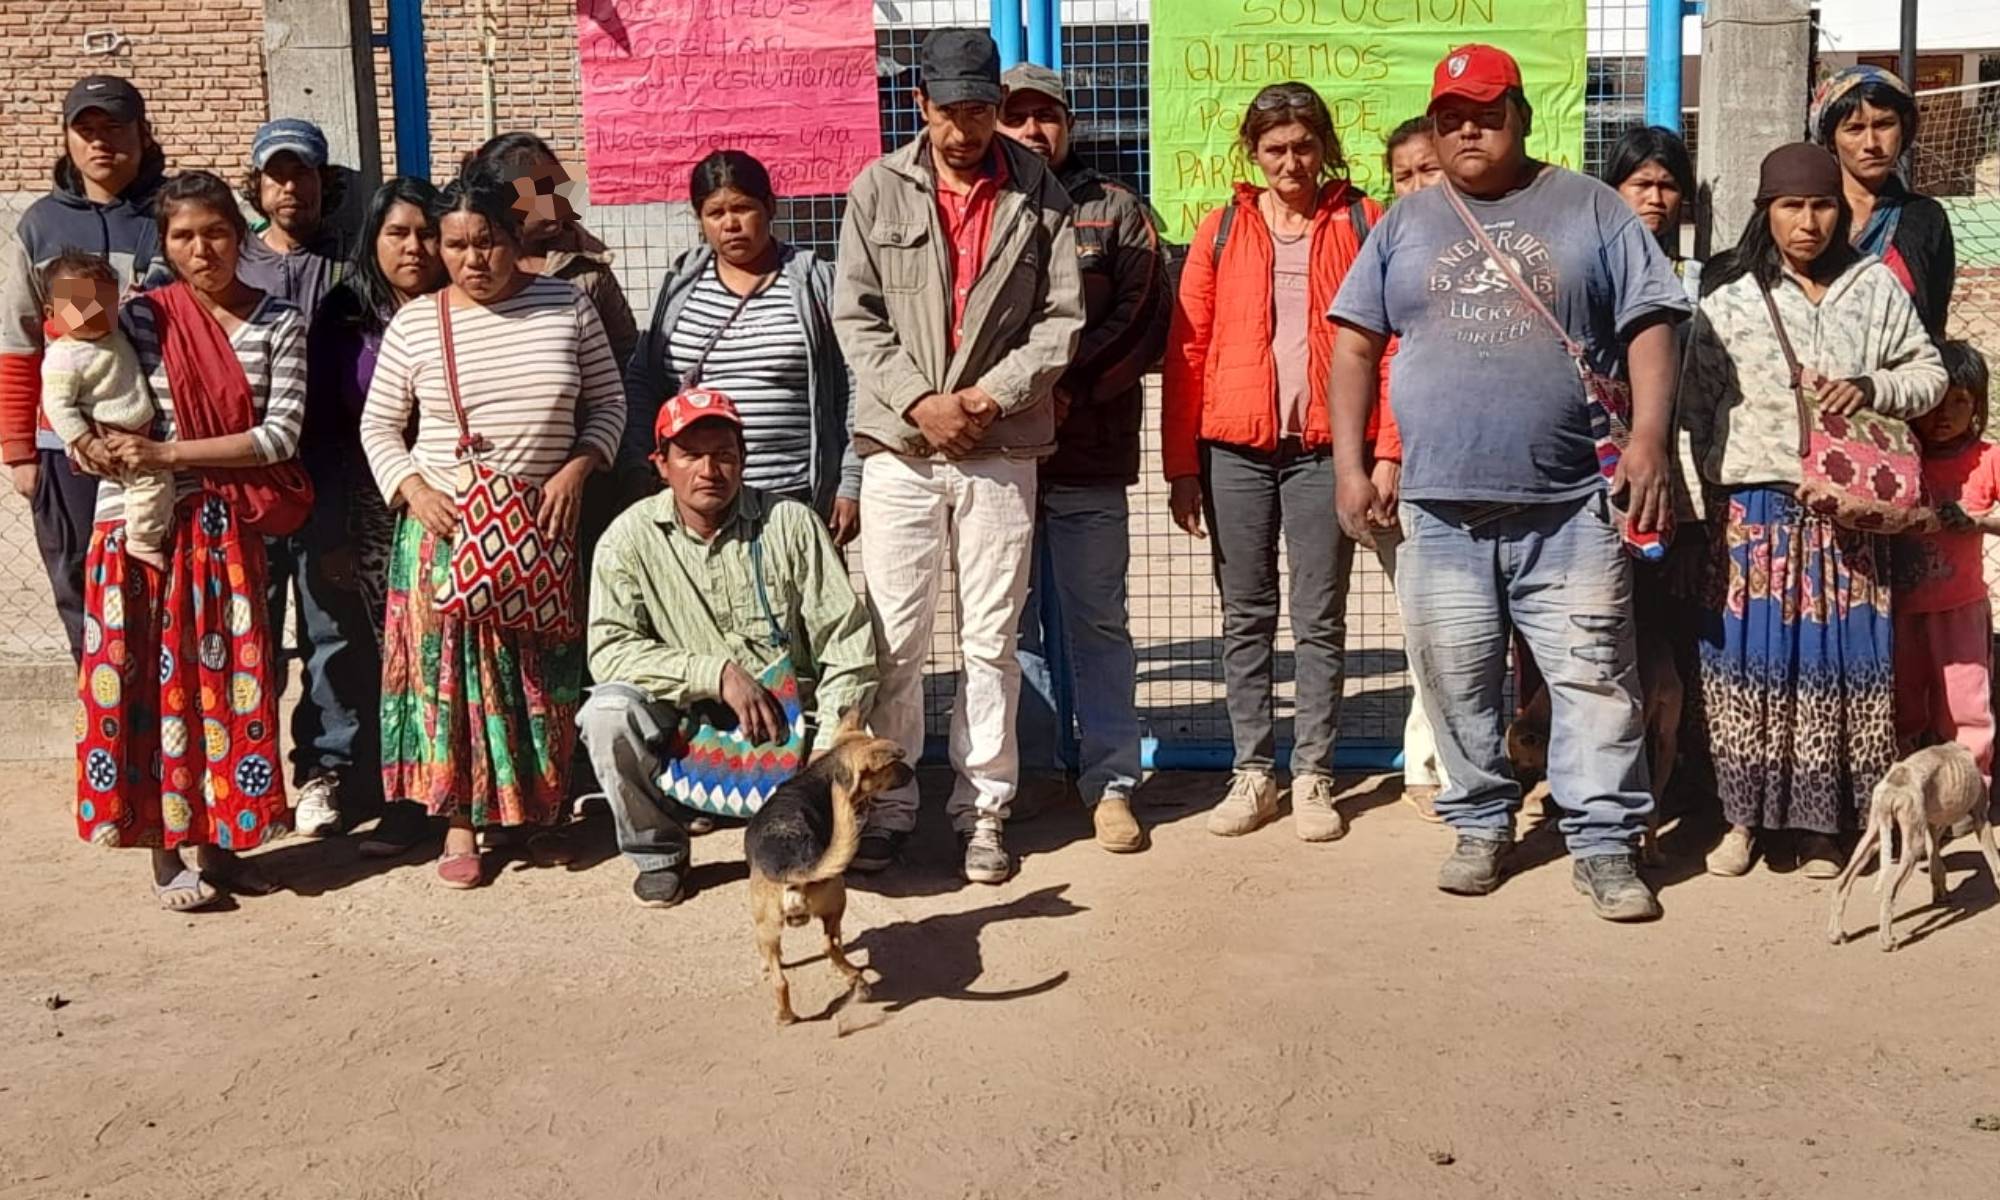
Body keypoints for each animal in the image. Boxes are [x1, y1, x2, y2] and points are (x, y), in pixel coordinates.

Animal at [744, 708, 916, 1024]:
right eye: (893, 766)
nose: (911, 772)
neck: (822, 776)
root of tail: (794, 865)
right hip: (830, 901)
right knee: (827, 946)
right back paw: (855, 981)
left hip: (785, 920)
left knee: (788, 975)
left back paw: (790, 1013)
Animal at [1832, 744, 2000, 952]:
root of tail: (1893, 785)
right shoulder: (1980, 819)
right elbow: (1995, 862)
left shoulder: (1932, 825)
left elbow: (1936, 863)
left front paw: (1940, 894)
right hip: (1912, 843)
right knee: (1890, 891)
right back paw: (1886, 941)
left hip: (1875, 834)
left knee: (1843, 881)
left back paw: (1836, 933)